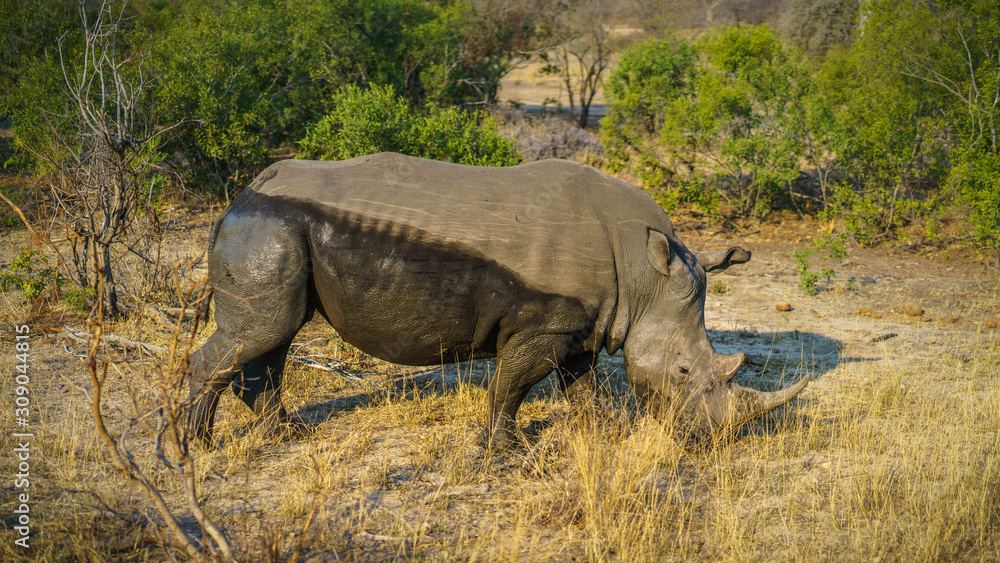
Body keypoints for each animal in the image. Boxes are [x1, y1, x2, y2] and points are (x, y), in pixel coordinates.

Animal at [187, 152, 809, 448]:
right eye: (682, 372)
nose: (708, 440)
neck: (643, 273)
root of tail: (240, 197)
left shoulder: (581, 322)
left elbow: (580, 383)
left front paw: (596, 433)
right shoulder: (543, 322)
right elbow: (513, 384)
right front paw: (505, 449)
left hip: (276, 229)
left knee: (273, 335)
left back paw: (285, 434)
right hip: (268, 228)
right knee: (261, 334)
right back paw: (197, 448)